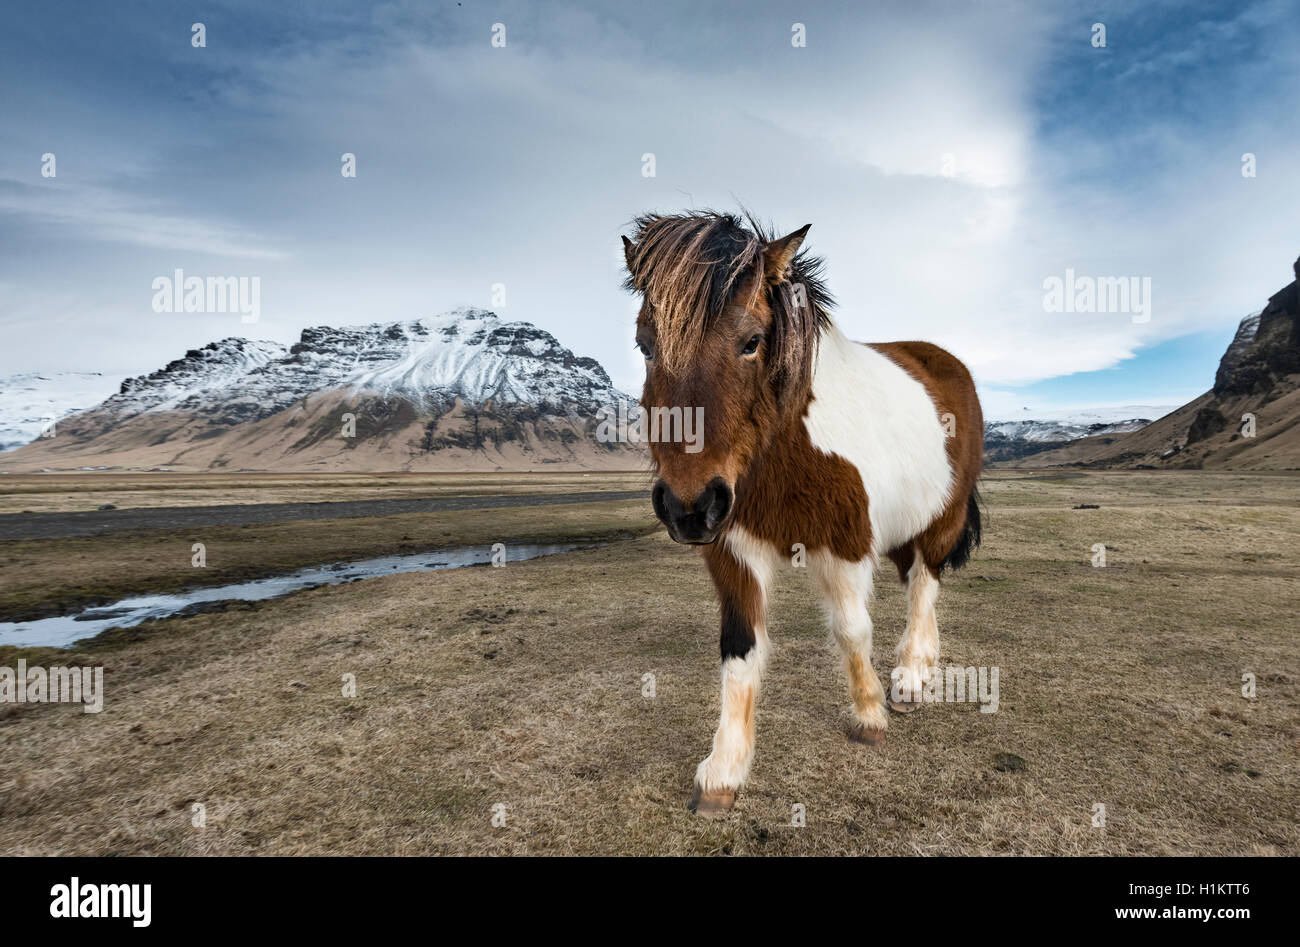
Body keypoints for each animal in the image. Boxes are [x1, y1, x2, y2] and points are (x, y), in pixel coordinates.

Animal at [621, 210, 982, 816]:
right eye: (645, 345)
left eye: (752, 342)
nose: (689, 506)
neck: (785, 445)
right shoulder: (732, 548)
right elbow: (740, 647)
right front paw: (723, 771)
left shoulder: (844, 544)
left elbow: (851, 630)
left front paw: (869, 716)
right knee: (918, 583)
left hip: (941, 519)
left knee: (924, 587)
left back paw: (911, 677)